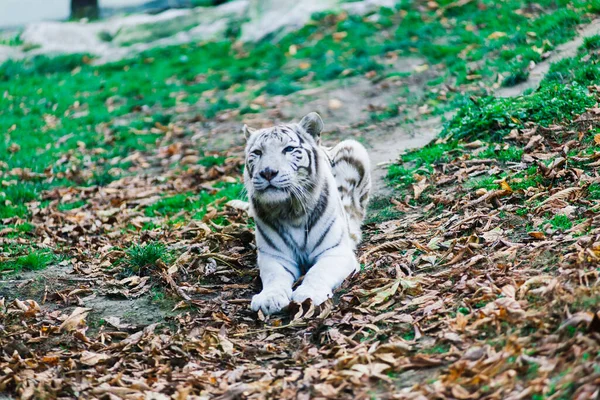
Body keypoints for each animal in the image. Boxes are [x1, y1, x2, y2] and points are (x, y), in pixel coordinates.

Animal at [244, 111, 370, 314]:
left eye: (288, 149)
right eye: (257, 153)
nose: (268, 172)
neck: (291, 210)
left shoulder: (335, 252)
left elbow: (318, 271)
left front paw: (308, 294)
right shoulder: (274, 257)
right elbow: (274, 277)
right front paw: (269, 298)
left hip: (353, 147)